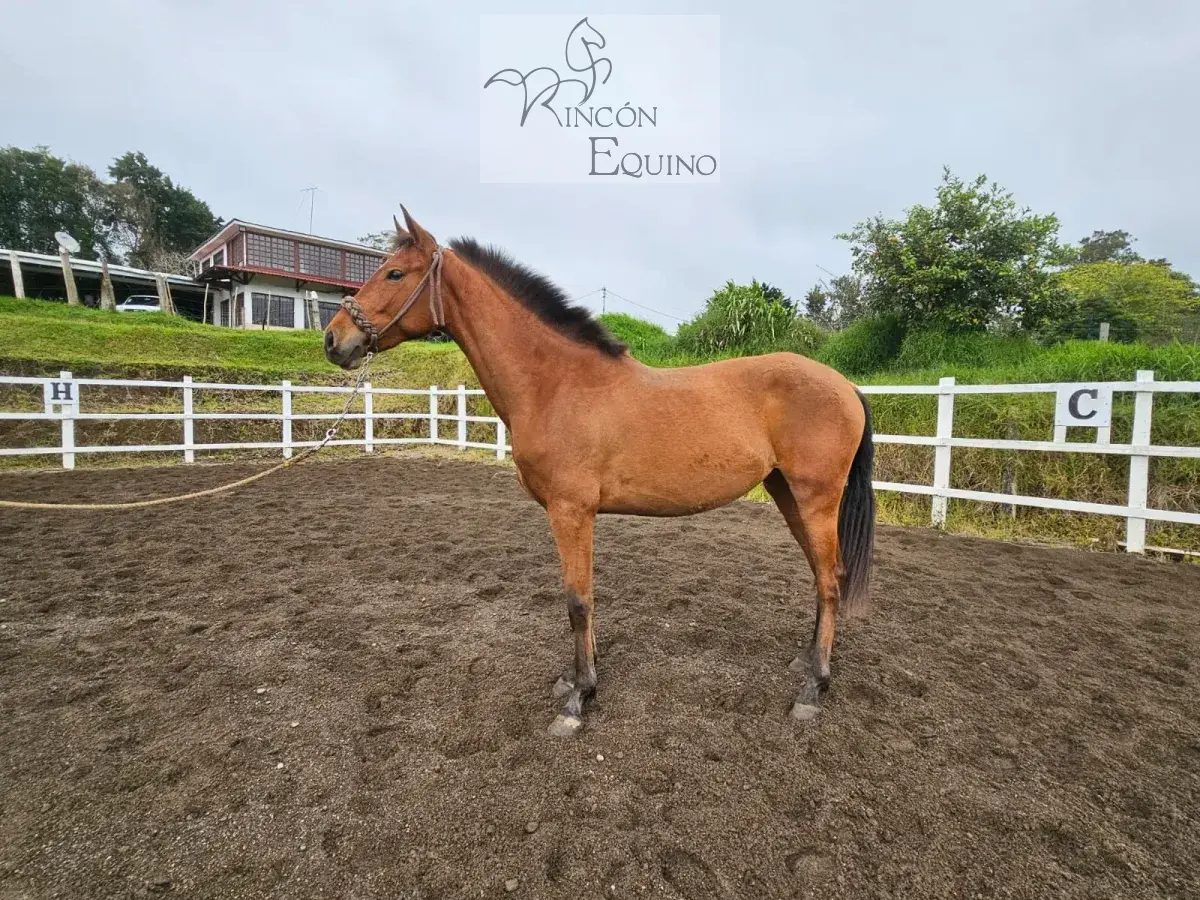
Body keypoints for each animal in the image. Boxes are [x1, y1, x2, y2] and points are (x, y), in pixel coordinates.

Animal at [325, 208, 876, 738]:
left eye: (395, 273)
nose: (334, 340)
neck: (556, 384)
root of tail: (845, 385)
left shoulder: (571, 512)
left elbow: (577, 601)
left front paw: (578, 700)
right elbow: (584, 599)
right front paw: (577, 679)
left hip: (816, 498)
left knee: (831, 580)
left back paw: (812, 690)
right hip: (787, 495)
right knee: (822, 577)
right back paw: (806, 661)